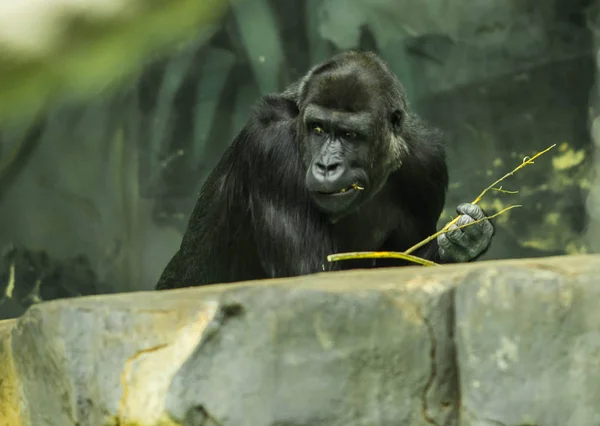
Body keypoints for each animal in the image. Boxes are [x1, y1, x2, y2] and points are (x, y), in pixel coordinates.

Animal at [157, 50, 494, 290]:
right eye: (317, 129)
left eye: (349, 135)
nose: (327, 165)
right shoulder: (272, 148)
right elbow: (313, 277)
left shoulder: (428, 163)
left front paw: (465, 243)